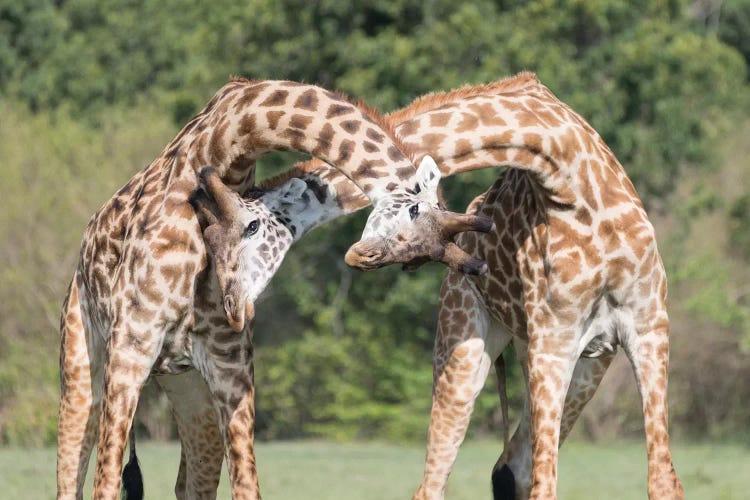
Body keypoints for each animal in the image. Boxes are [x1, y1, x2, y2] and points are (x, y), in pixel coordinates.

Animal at [54, 79, 488, 500]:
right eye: (411, 214)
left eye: (414, 260)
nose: (235, 309)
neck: (222, 150)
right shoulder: (131, 349)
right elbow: (105, 484)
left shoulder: (230, 368)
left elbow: (247, 486)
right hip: (82, 368)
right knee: (70, 474)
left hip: (189, 390)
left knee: (190, 482)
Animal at [192, 74, 680, 500]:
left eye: (251, 227)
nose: (360, 256)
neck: (574, 185)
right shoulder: (553, 341)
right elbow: (548, 483)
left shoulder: (648, 328)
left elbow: (663, 480)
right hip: (467, 348)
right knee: (442, 480)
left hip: (586, 365)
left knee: (513, 464)